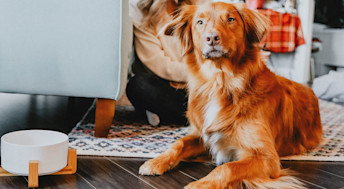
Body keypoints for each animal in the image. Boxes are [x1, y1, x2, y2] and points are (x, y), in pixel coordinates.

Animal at [138, 2, 322, 188]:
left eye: (231, 19)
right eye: (200, 22)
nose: (212, 38)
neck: (220, 83)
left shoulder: (267, 157)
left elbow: (227, 168)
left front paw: (200, 184)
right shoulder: (204, 135)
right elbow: (179, 143)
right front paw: (156, 161)